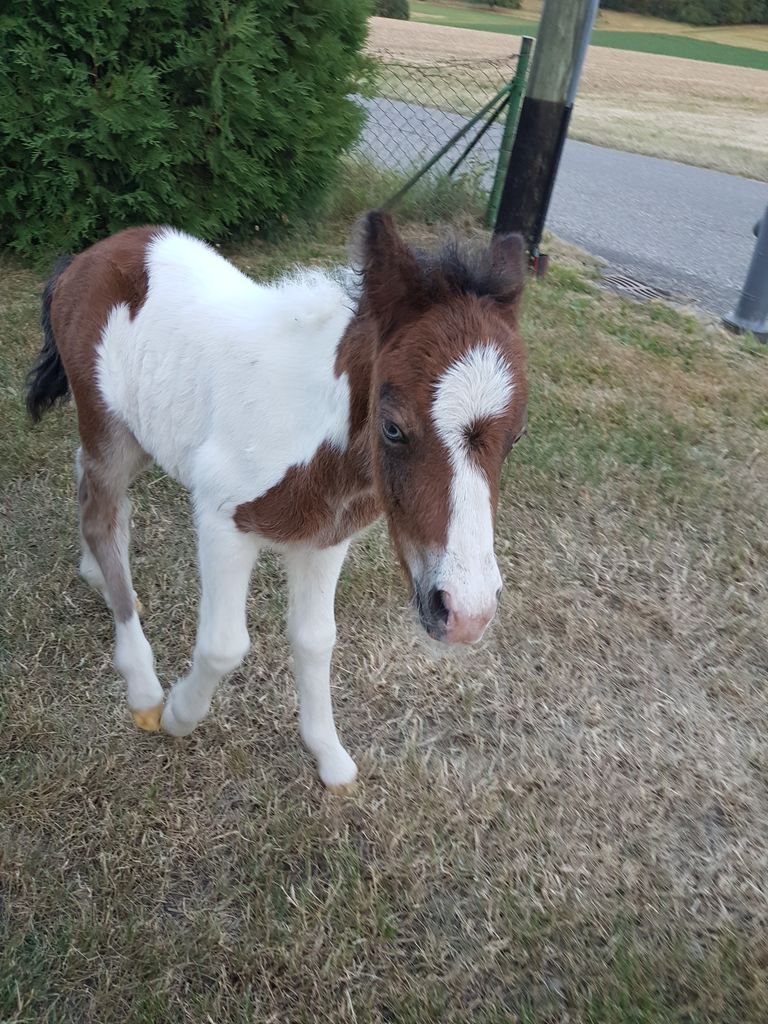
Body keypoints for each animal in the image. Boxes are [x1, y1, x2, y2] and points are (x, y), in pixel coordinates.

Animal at [26, 211, 528, 791]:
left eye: (517, 436)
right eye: (394, 428)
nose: (467, 612)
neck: (314, 434)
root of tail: (85, 257)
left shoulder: (326, 540)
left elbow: (315, 639)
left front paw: (328, 753)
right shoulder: (222, 519)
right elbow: (224, 645)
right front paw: (179, 714)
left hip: (138, 433)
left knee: (91, 485)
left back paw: (96, 577)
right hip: (105, 420)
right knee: (100, 513)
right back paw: (143, 684)